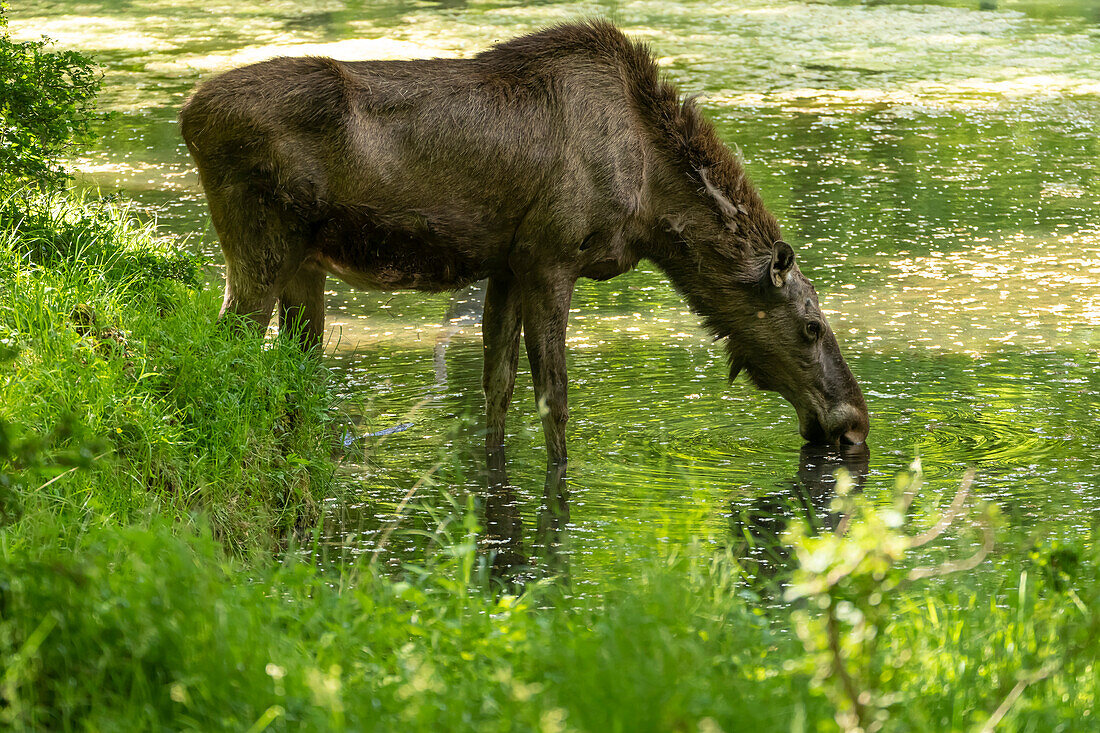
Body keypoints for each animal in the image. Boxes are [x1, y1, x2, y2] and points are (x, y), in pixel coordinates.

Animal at [180, 21, 866, 490]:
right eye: (812, 325)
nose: (855, 423)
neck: (652, 205)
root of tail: (188, 117)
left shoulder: (507, 264)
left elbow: (497, 388)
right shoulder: (550, 257)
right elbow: (553, 400)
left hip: (303, 263)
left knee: (294, 365)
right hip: (260, 246)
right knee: (225, 348)